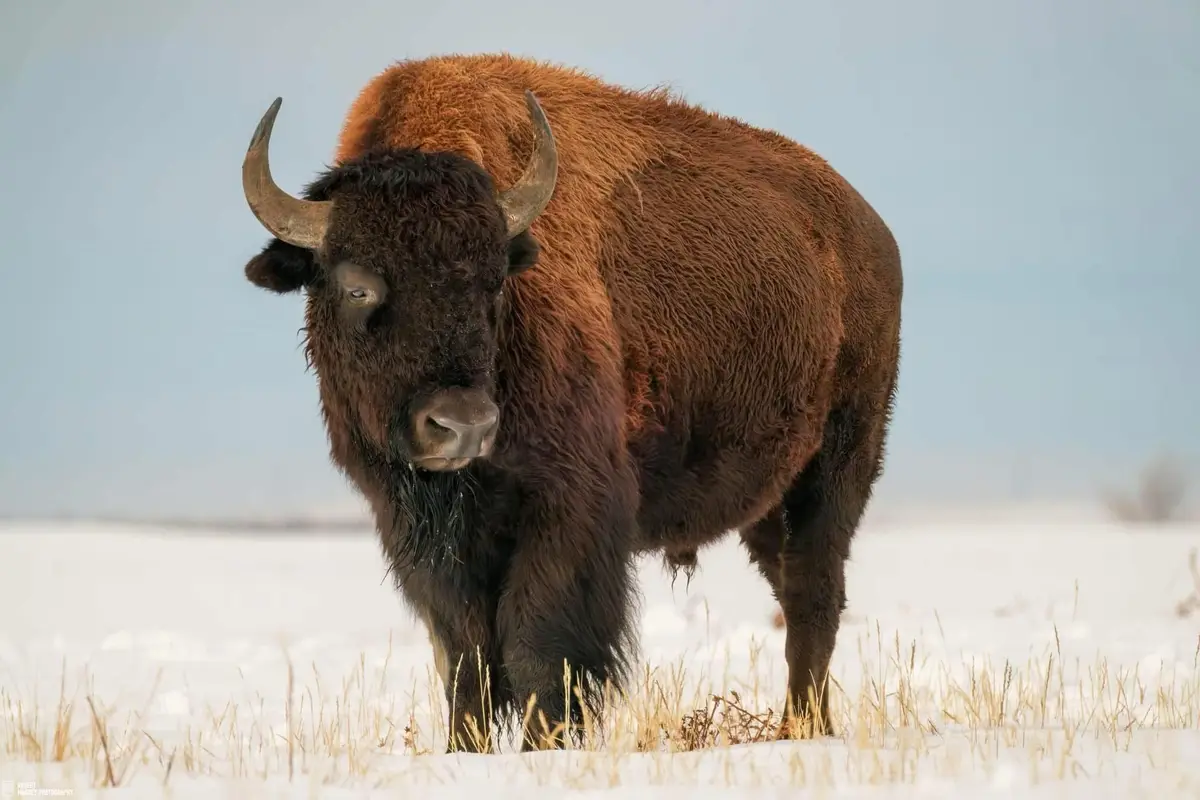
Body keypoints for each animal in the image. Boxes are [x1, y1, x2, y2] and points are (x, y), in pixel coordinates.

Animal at [240, 53, 902, 752]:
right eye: (357, 286)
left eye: (494, 282)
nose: (462, 426)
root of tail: (870, 232)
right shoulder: (416, 527)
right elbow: (465, 657)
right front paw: (464, 751)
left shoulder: (568, 509)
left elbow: (537, 647)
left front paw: (544, 749)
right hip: (767, 501)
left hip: (839, 465)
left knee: (812, 596)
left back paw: (804, 729)